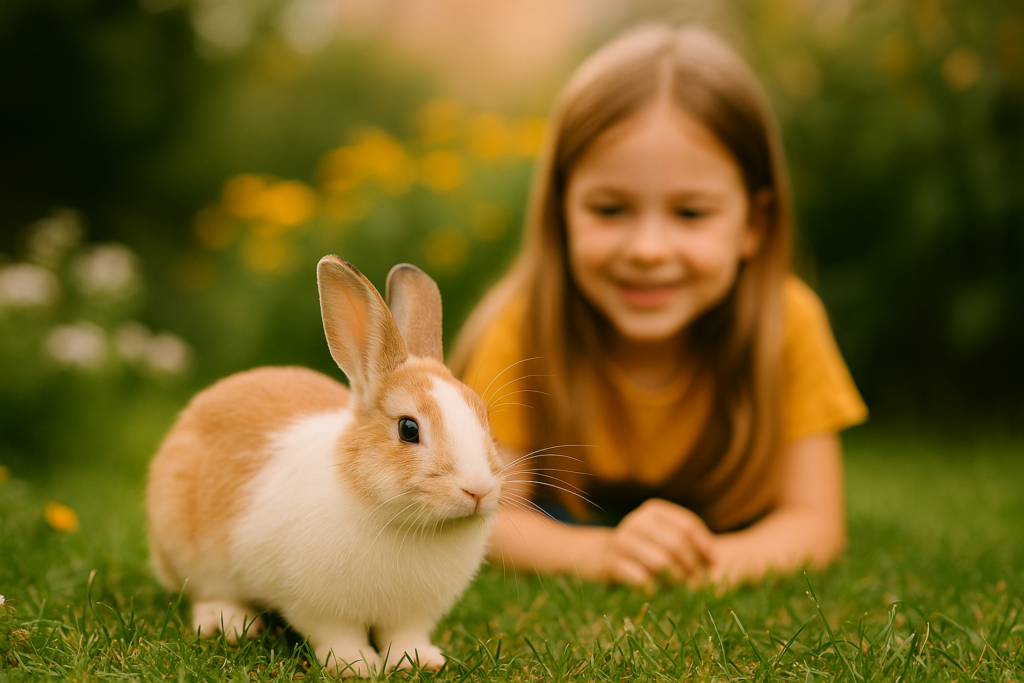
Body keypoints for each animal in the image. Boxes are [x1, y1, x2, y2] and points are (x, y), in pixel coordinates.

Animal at [146, 255, 503, 677]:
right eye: (408, 429)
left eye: (484, 418)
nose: (479, 490)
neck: (403, 521)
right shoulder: (319, 608)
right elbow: (338, 637)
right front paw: (358, 666)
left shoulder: (412, 615)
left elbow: (405, 637)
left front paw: (421, 661)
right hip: (190, 552)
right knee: (206, 591)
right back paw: (230, 624)